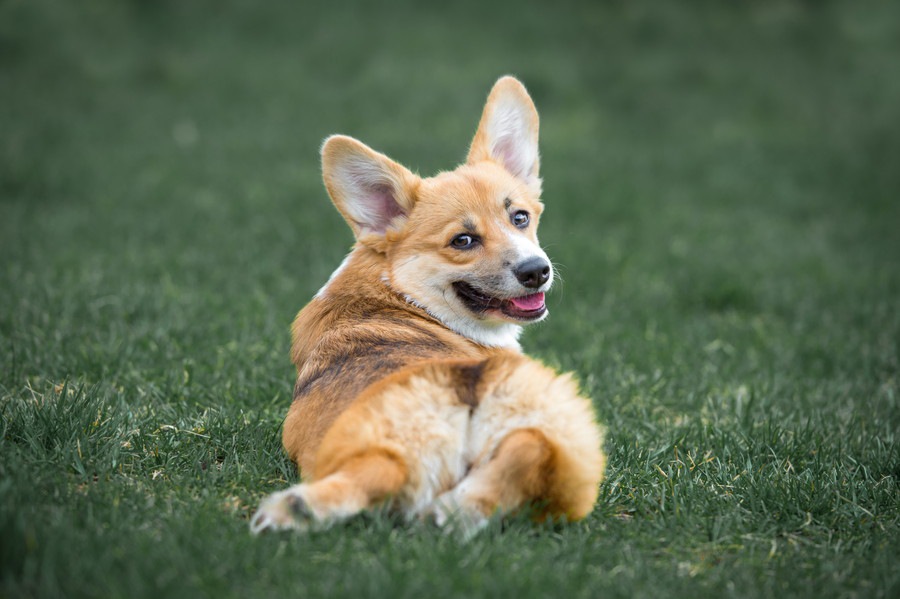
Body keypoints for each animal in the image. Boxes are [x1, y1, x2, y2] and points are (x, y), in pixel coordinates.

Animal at [250, 76, 608, 540]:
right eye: (463, 241)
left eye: (520, 218)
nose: (536, 272)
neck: (399, 290)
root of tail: (460, 388)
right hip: (569, 438)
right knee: (532, 449)